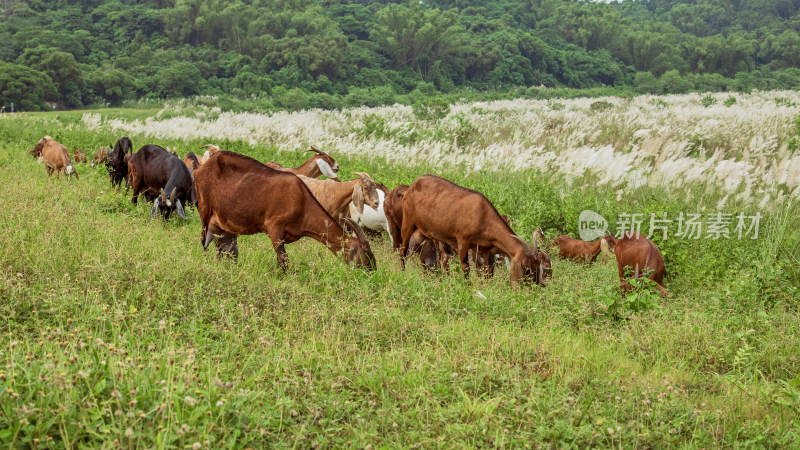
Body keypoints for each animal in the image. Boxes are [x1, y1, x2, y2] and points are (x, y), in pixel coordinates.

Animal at [193, 151, 376, 270]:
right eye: (364, 252)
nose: (372, 270)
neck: (302, 200)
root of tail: (200, 168)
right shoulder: (275, 229)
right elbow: (284, 261)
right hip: (204, 212)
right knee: (205, 244)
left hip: (224, 227)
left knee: (226, 250)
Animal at [400, 174, 552, 286]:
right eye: (525, 265)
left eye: (538, 263)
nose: (535, 285)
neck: (483, 214)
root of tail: (412, 186)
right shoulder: (462, 241)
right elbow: (466, 266)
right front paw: (468, 287)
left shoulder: (484, 249)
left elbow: (487, 270)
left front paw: (486, 287)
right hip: (408, 222)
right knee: (403, 250)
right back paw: (402, 272)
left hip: (425, 233)